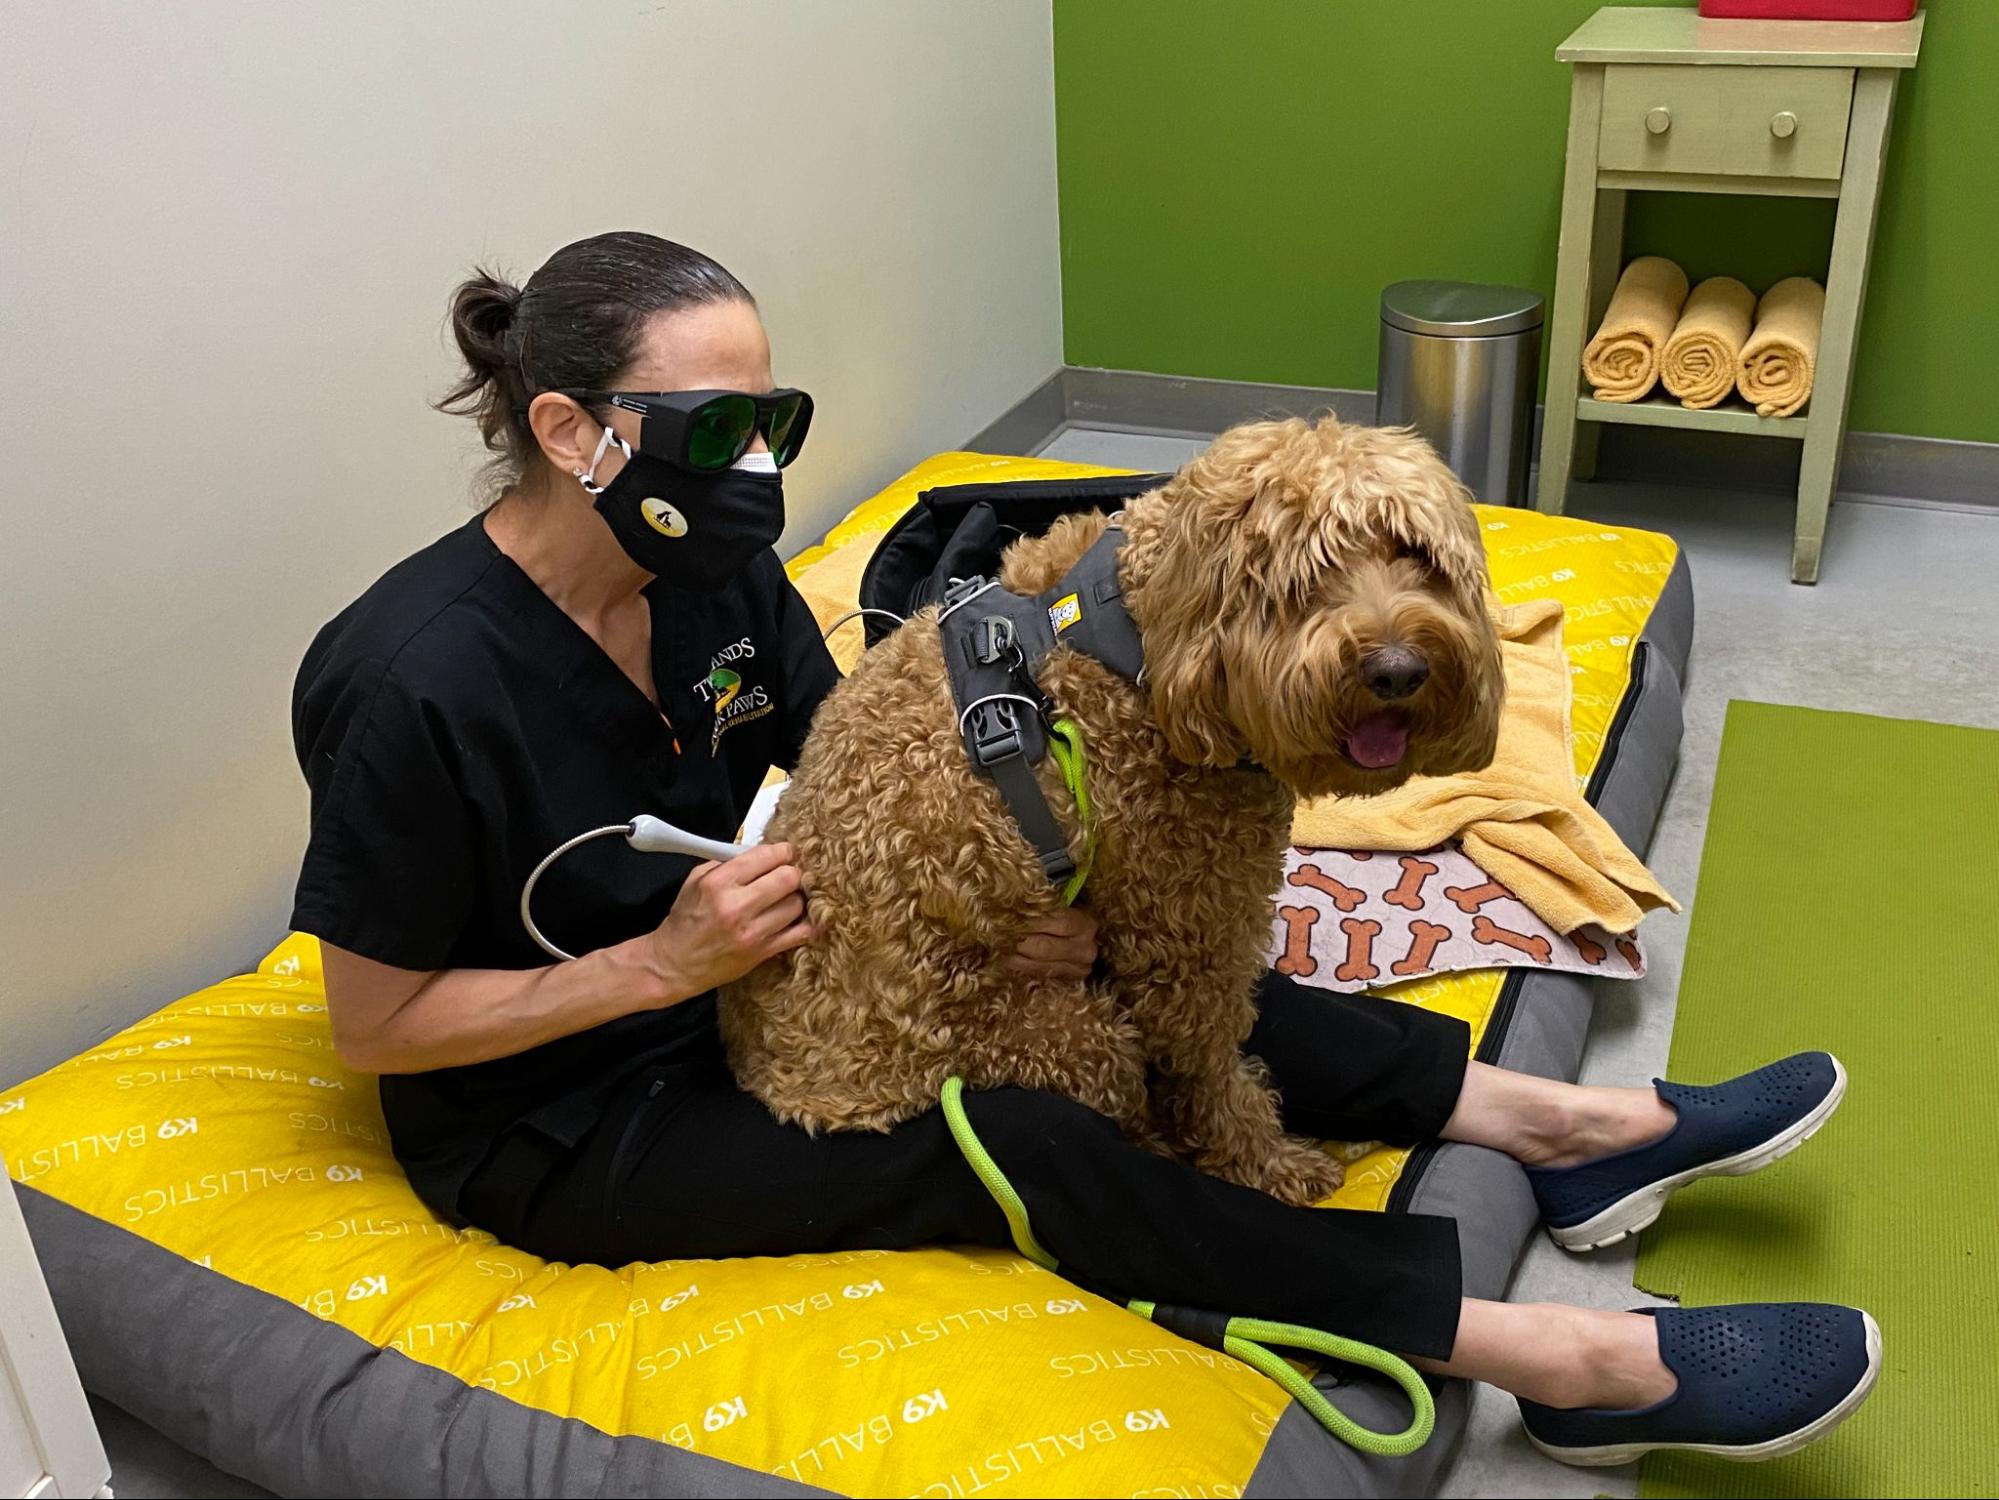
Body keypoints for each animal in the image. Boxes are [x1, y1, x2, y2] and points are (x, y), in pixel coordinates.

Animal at [719, 414, 1503, 1208]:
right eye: (1305, 578)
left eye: (1416, 556)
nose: (1398, 670)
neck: (1137, 640)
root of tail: (771, 1084)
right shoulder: (1187, 929)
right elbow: (1208, 1066)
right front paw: (1263, 1160)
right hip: (1069, 1035)